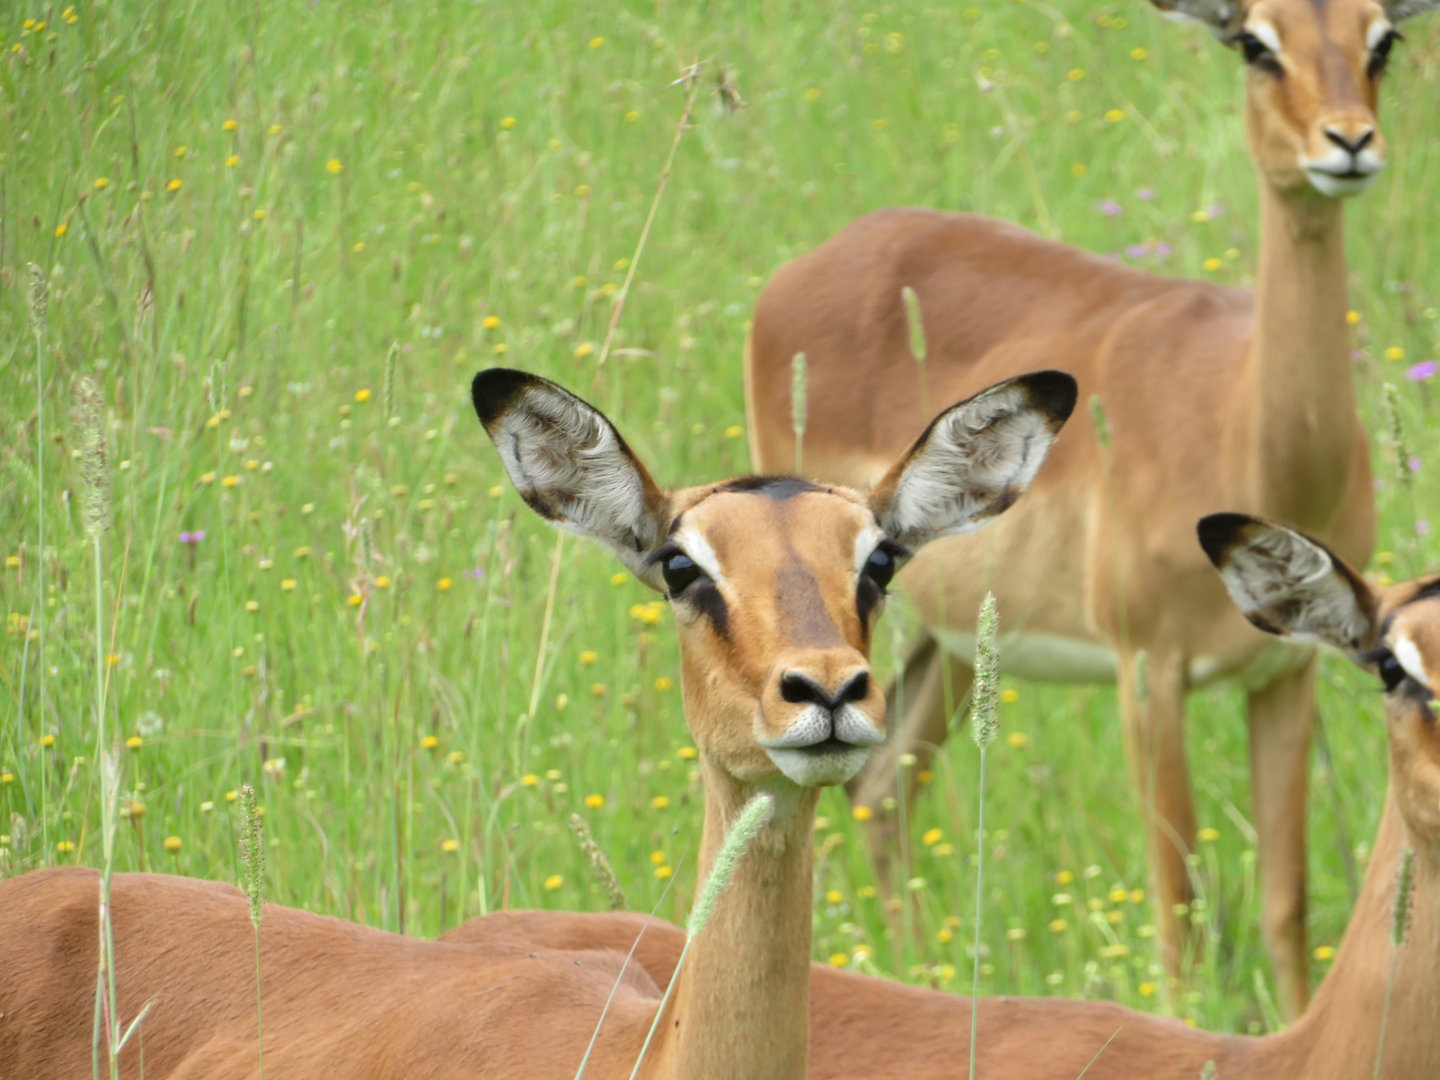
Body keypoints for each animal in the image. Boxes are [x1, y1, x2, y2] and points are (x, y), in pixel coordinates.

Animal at [744, 0, 1439, 1016]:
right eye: (1255, 42)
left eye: (1381, 38)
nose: (1347, 142)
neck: (1248, 435)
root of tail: (810, 264)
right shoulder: (1147, 670)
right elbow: (1178, 903)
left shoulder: (1285, 674)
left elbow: (1285, 897)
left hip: (949, 639)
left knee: (884, 789)